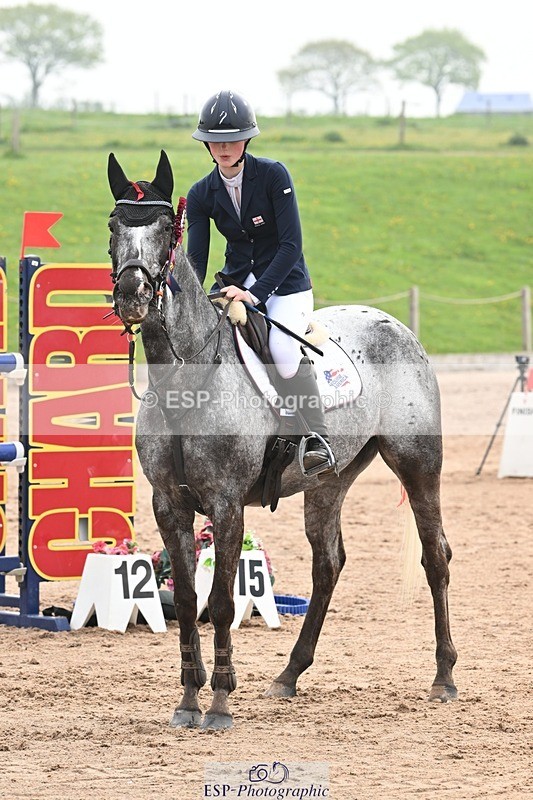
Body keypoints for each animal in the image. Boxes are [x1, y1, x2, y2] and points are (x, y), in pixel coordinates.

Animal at [107, 149, 457, 730]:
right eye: (114, 225)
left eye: (163, 229)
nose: (132, 296)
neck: (185, 378)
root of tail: (395, 324)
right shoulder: (169, 505)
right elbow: (187, 602)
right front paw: (188, 702)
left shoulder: (226, 504)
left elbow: (223, 603)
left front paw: (220, 705)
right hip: (329, 481)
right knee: (328, 564)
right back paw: (290, 674)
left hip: (417, 463)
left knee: (435, 557)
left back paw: (444, 677)